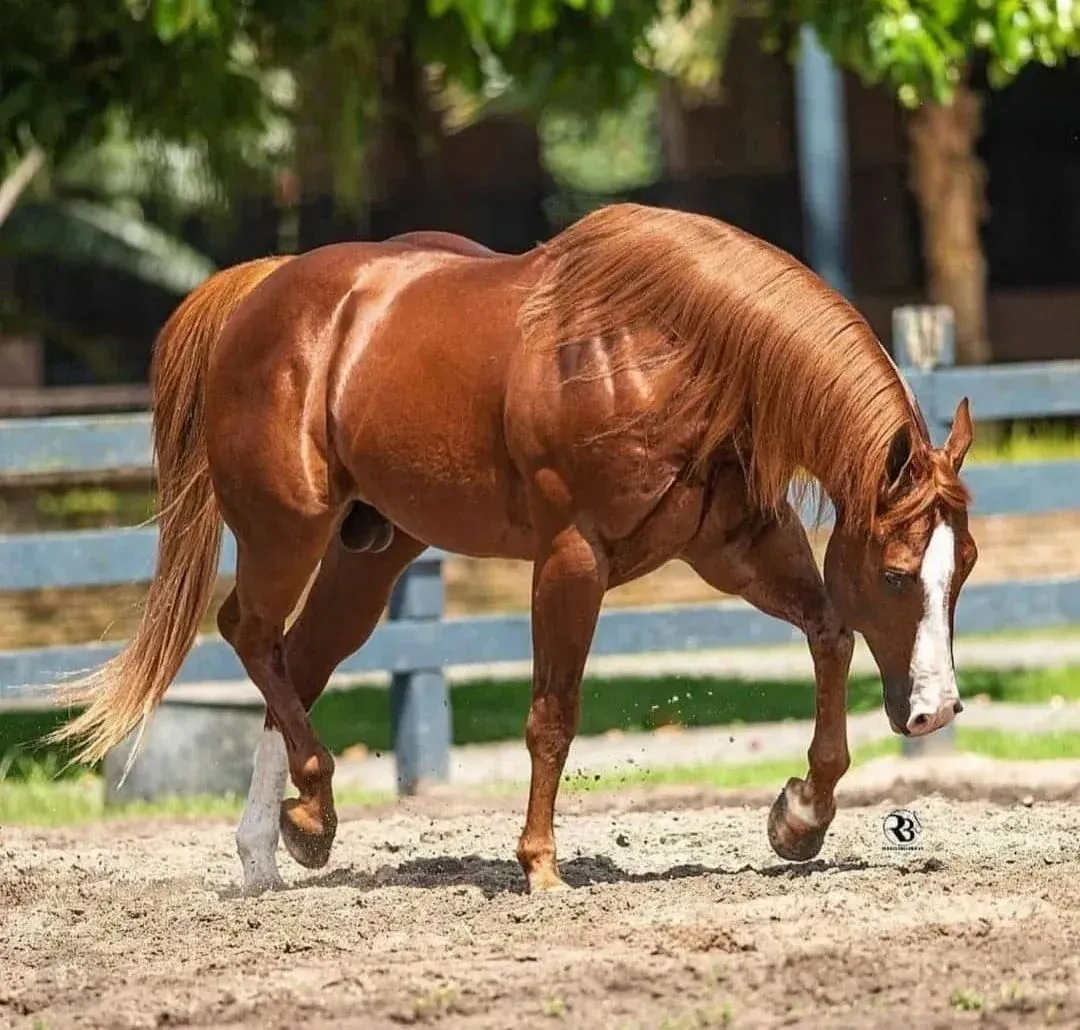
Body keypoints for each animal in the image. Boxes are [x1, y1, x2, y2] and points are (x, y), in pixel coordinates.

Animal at [49, 203, 977, 896]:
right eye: (897, 576)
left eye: (960, 570)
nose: (934, 712)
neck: (678, 351)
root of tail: (261, 291)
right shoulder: (571, 560)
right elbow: (553, 715)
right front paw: (539, 866)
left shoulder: (739, 546)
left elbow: (830, 634)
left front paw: (800, 815)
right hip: (287, 532)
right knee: (249, 633)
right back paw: (306, 805)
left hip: (371, 553)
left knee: (297, 661)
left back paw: (282, 839)